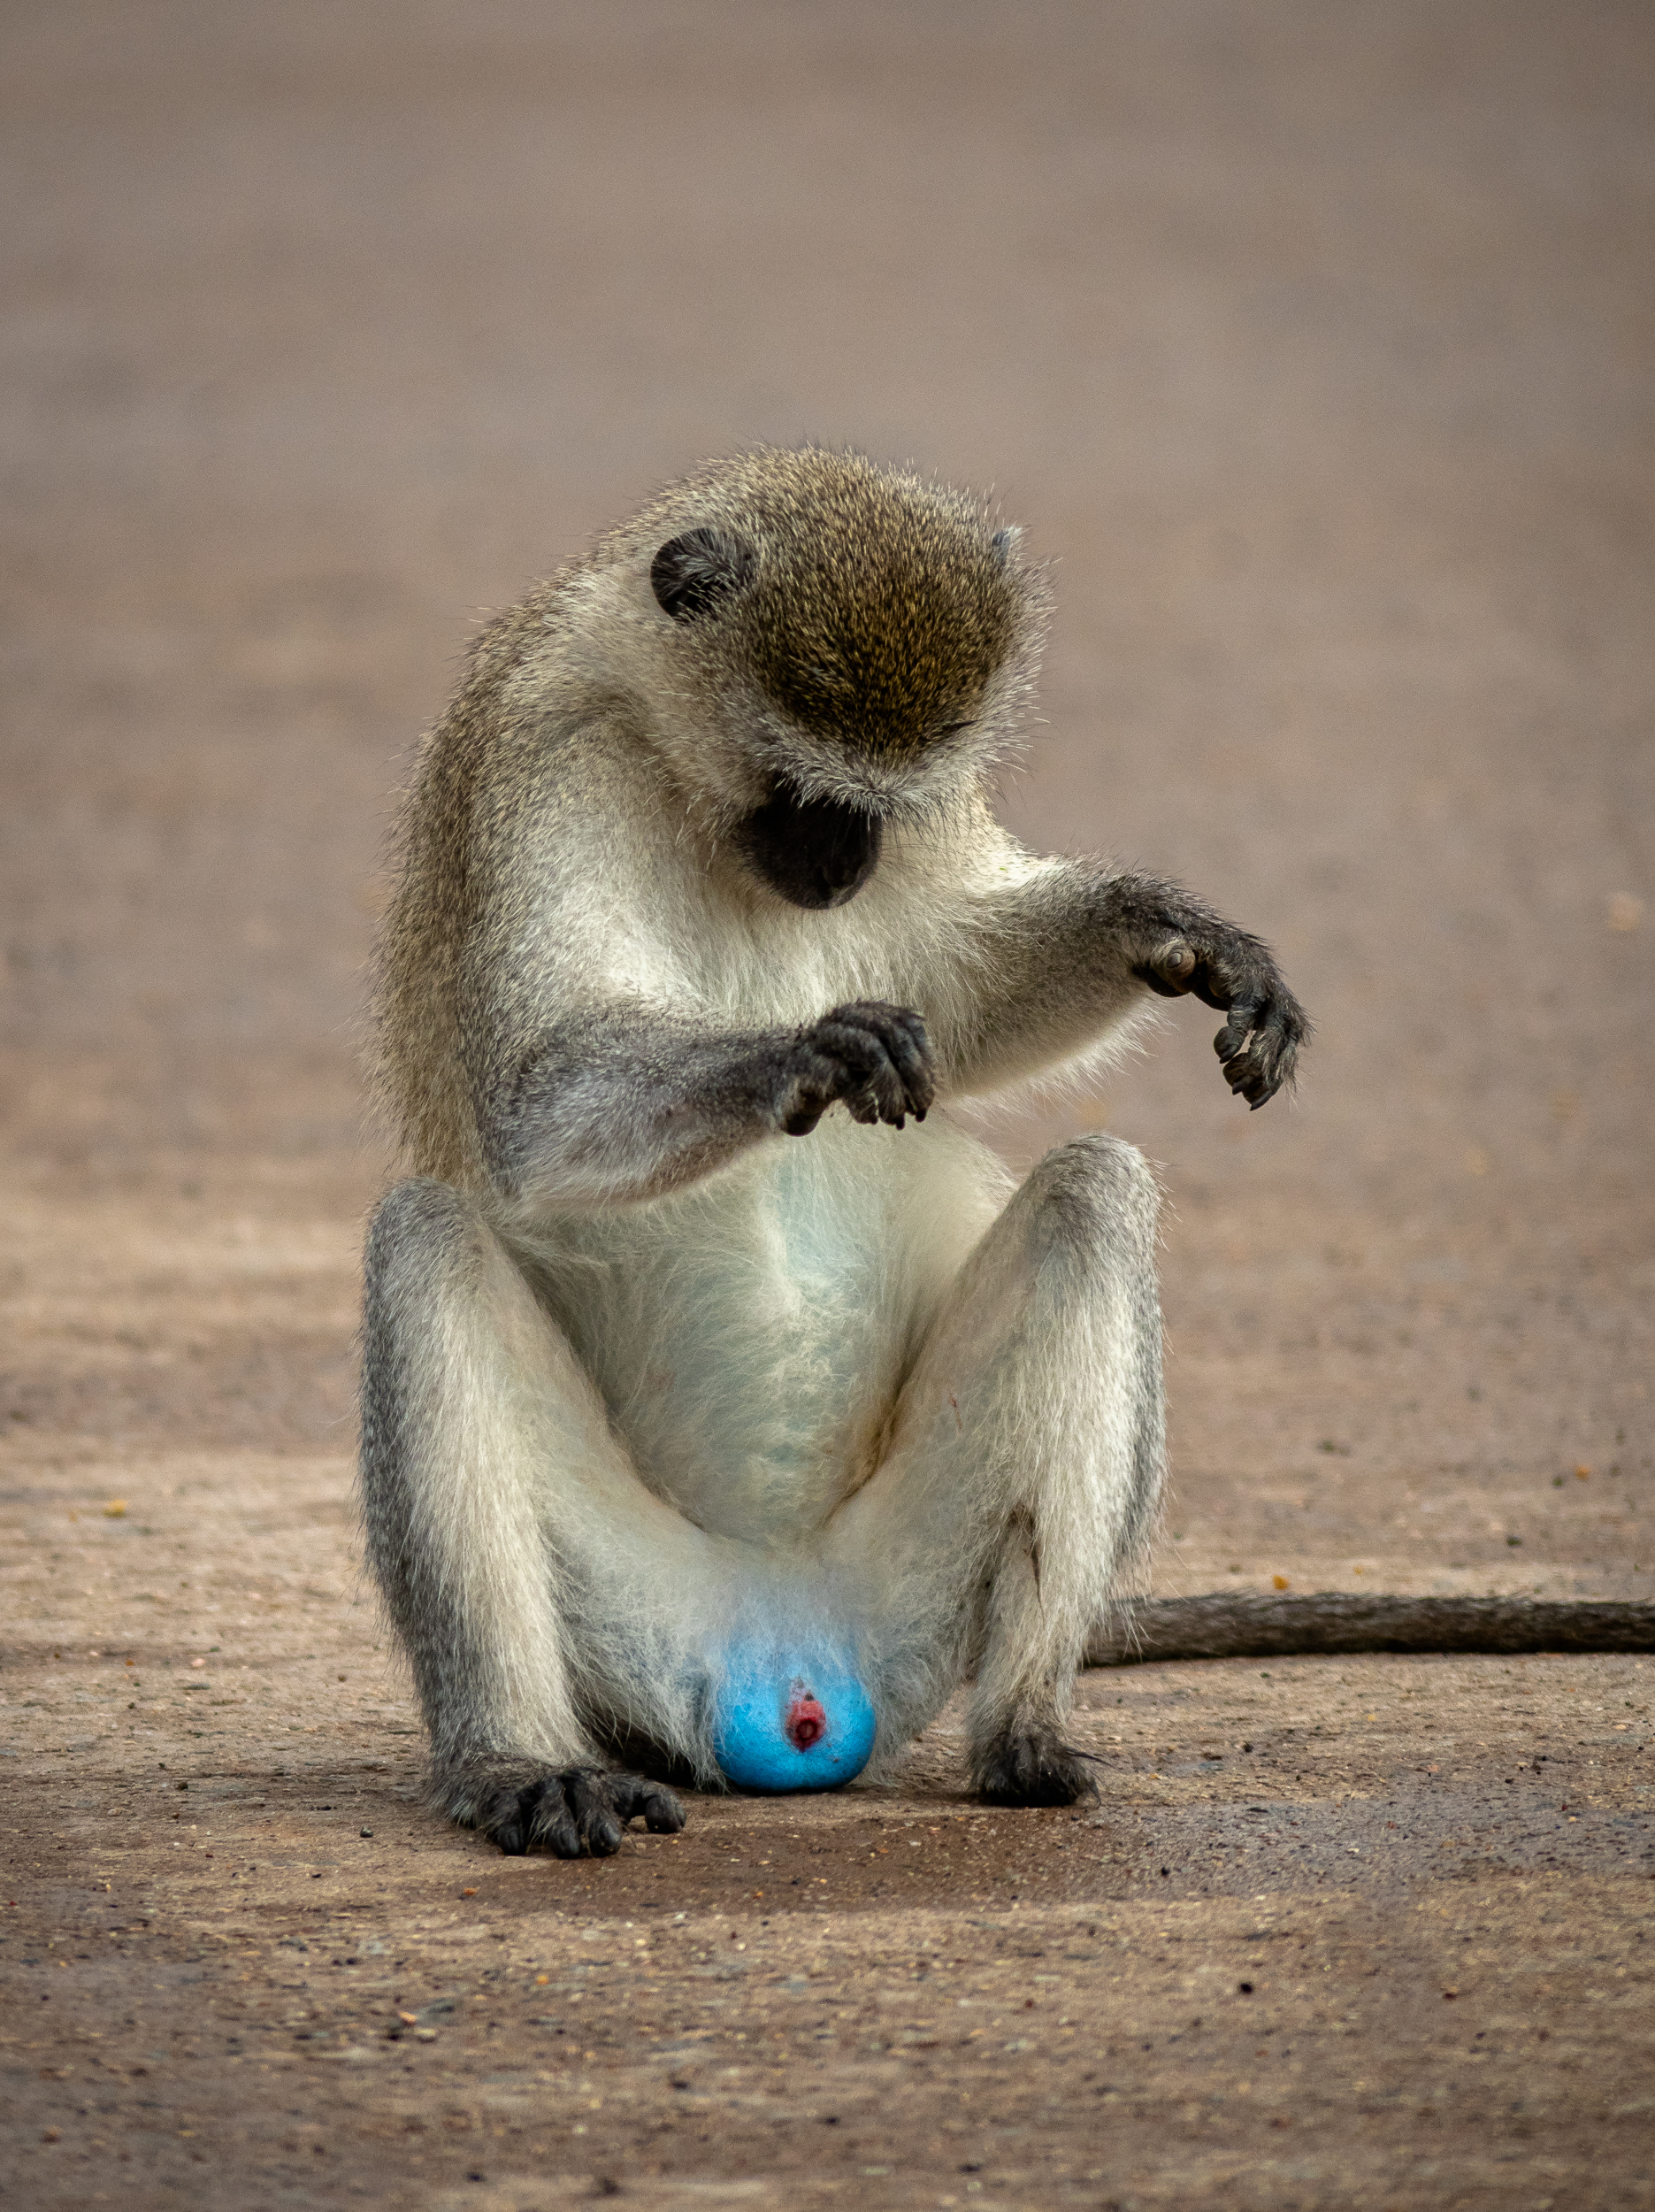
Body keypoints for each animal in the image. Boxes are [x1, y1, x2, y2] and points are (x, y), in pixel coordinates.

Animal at [359, 446, 1310, 1860]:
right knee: (421, 1237)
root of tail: (785, 1644)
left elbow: (960, 991)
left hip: (913, 1594)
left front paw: (1175, 928)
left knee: (1093, 1192)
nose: (846, 861)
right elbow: (533, 1096)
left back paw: (1023, 1731)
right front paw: (807, 1050)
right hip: (628, 1615)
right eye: (799, 788)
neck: (666, 747)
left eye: (892, 800)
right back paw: (515, 1760)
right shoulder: (549, 756)